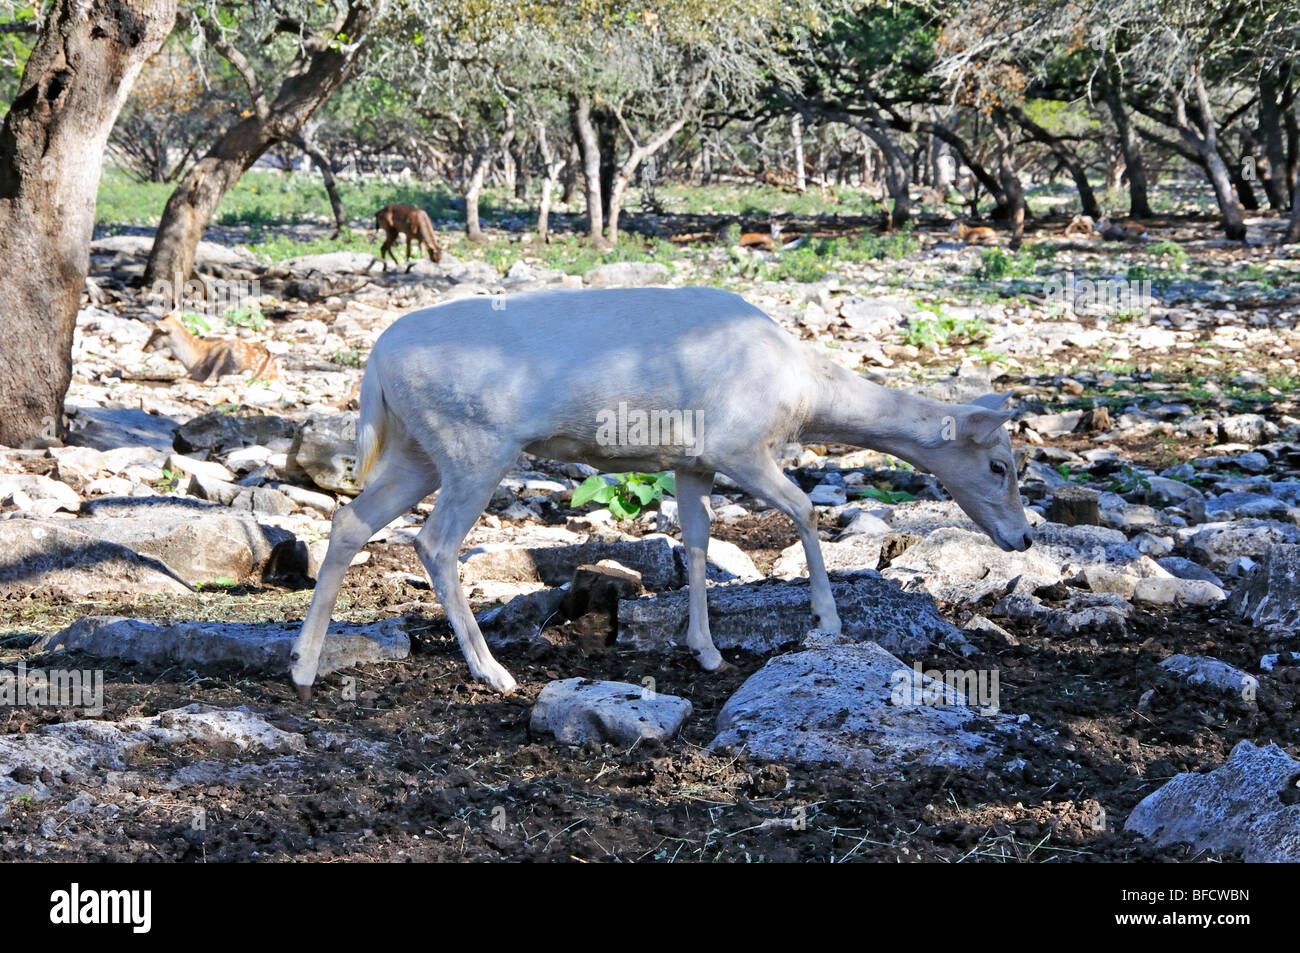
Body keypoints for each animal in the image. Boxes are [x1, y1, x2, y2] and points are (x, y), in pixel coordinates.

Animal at [287, 286, 1034, 696]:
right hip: (475, 445)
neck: (801, 393)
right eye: (1000, 464)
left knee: (350, 522)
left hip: (418, 450)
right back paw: (492, 672)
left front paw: (705, 648)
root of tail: (374, 365)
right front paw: (826, 623)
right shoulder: (738, 444)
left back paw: (302, 664)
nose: (1024, 537)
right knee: (434, 542)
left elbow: (698, 540)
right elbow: (801, 509)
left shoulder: (692, 461)